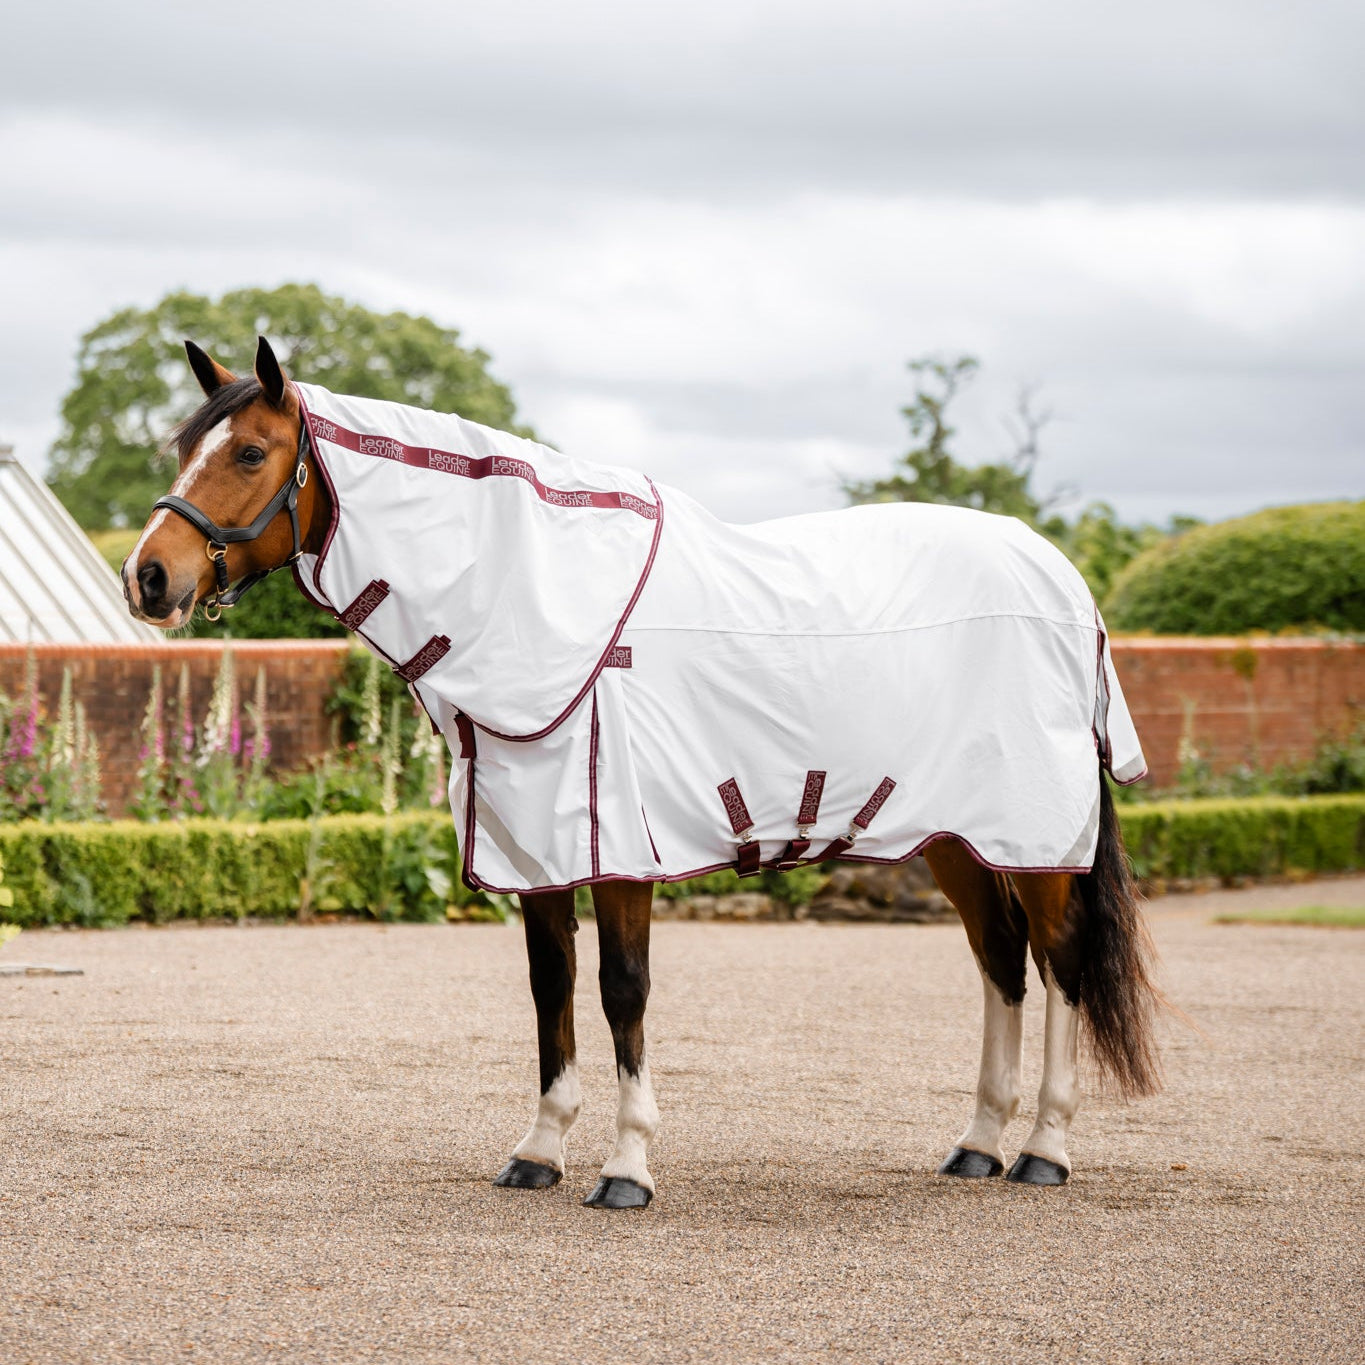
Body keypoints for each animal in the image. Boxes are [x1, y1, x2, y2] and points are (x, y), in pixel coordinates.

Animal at [122, 336, 1162, 1209]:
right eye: (185, 449)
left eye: (250, 453)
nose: (148, 577)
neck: (531, 597)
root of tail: (1066, 586)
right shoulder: (535, 851)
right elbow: (550, 988)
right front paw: (538, 1152)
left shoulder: (619, 847)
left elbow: (622, 988)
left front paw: (626, 1166)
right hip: (956, 835)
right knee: (1000, 961)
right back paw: (977, 1143)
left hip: (1035, 838)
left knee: (1060, 960)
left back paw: (1044, 1150)